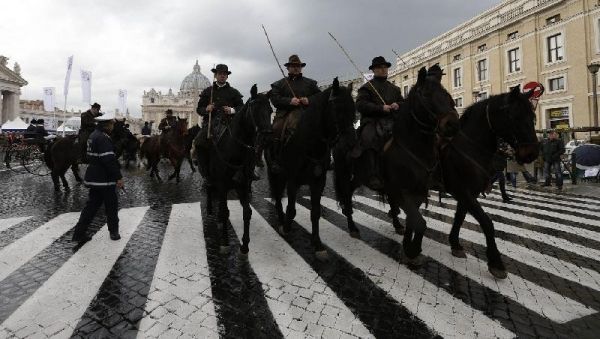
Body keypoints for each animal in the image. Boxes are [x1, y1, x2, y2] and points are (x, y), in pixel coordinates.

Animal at [264, 77, 350, 260]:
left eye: (354, 110)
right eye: (336, 109)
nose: (349, 144)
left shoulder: (318, 182)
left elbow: (315, 212)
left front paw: (317, 244)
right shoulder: (292, 180)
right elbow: (291, 209)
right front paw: (286, 228)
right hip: (275, 173)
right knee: (277, 196)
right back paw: (280, 220)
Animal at [332, 66, 460, 262]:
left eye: (445, 93)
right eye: (425, 94)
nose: (452, 124)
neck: (411, 146)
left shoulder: (418, 191)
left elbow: (414, 220)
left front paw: (408, 244)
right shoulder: (401, 191)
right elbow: (420, 223)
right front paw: (413, 250)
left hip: (360, 177)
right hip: (346, 174)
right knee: (346, 194)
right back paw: (353, 227)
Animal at [440, 85, 540, 278]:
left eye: (532, 116)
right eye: (514, 116)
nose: (531, 153)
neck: (469, 148)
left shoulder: (467, 193)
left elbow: (460, 217)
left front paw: (455, 244)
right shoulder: (463, 191)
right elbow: (487, 223)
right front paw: (496, 263)